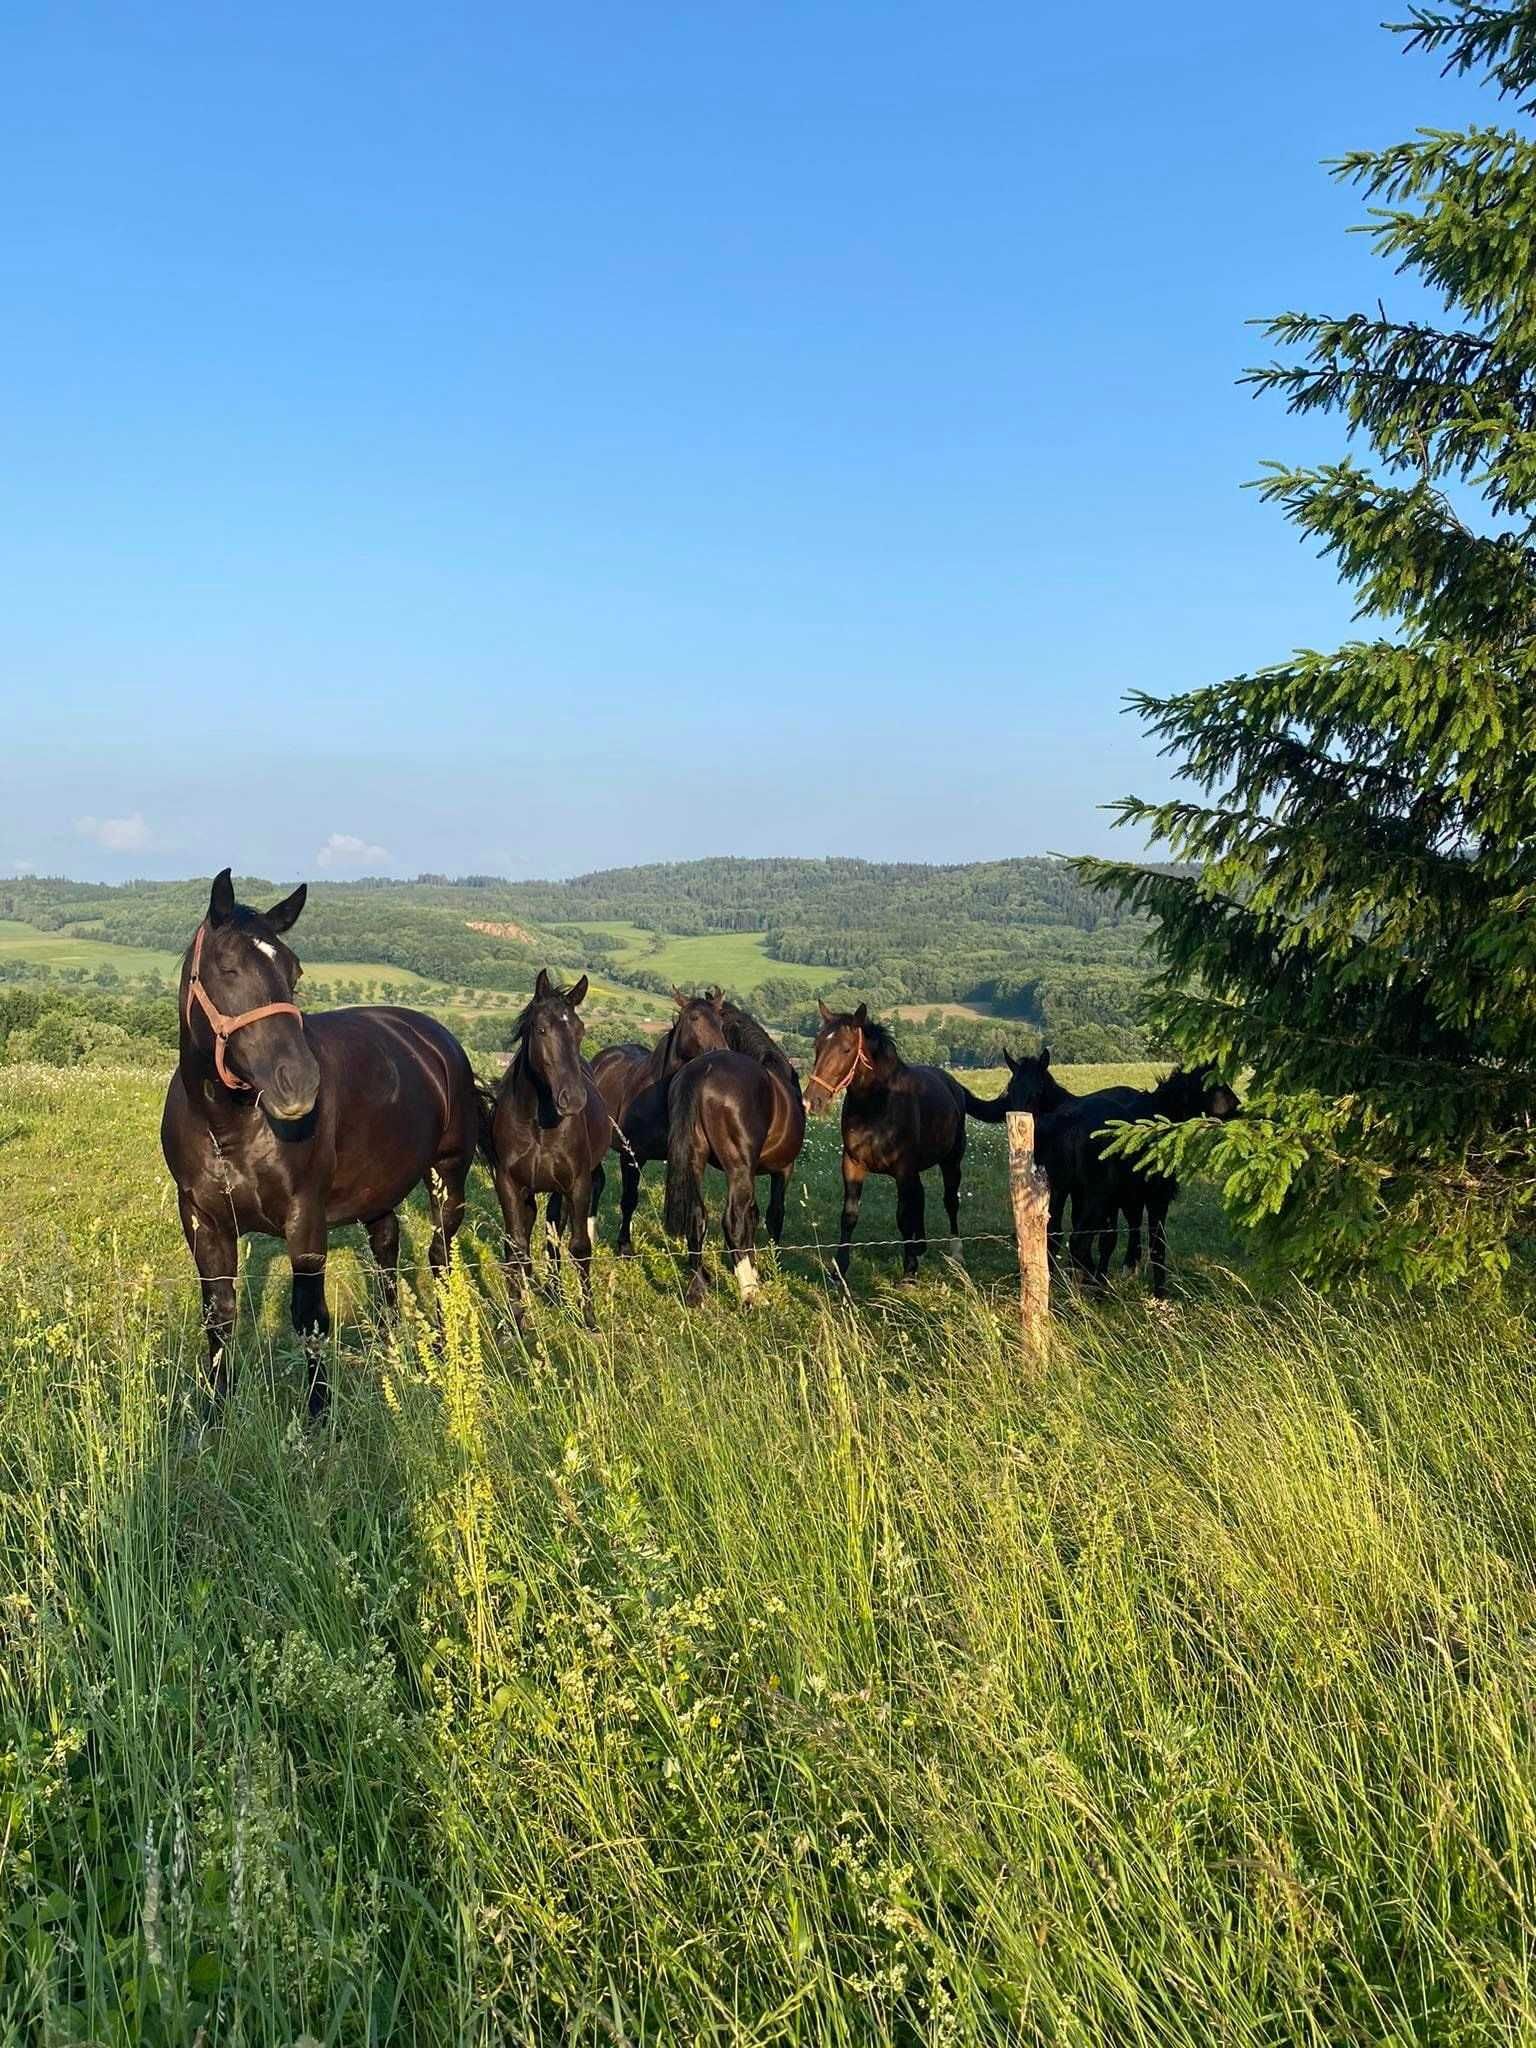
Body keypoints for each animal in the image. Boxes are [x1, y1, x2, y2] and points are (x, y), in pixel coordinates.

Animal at [160, 872, 481, 1417]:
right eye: (227, 968)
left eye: (294, 970)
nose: (298, 1084)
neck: (227, 1127)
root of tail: (436, 1039)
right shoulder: (202, 1220)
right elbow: (219, 1314)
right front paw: (215, 1411)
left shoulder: (305, 1220)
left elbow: (310, 1318)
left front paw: (317, 1414)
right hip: (381, 1188)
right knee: (386, 1247)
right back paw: (388, 1345)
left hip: (448, 1177)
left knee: (440, 1257)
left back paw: (442, 1346)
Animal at [593, 987, 729, 1253]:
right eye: (694, 1018)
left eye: (721, 1021)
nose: (722, 1053)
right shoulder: (631, 1155)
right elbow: (629, 1200)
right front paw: (624, 1246)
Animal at [663, 995, 806, 1310]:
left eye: (718, 1023)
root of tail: (701, 1072)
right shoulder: (782, 1169)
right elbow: (772, 1214)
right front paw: (768, 1270)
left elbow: (752, 1214)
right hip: (739, 1169)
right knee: (732, 1221)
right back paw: (750, 1295)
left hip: (697, 1161)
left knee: (697, 1216)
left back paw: (697, 1290)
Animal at [806, 1003, 1011, 1277]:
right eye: (817, 1045)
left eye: (846, 1049)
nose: (812, 1100)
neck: (877, 1105)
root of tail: (954, 1085)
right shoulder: (852, 1164)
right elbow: (849, 1215)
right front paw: (839, 1269)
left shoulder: (903, 1170)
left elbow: (904, 1217)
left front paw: (908, 1273)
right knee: (921, 1197)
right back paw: (920, 1248)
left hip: (951, 1161)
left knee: (950, 1201)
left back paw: (955, 1253)